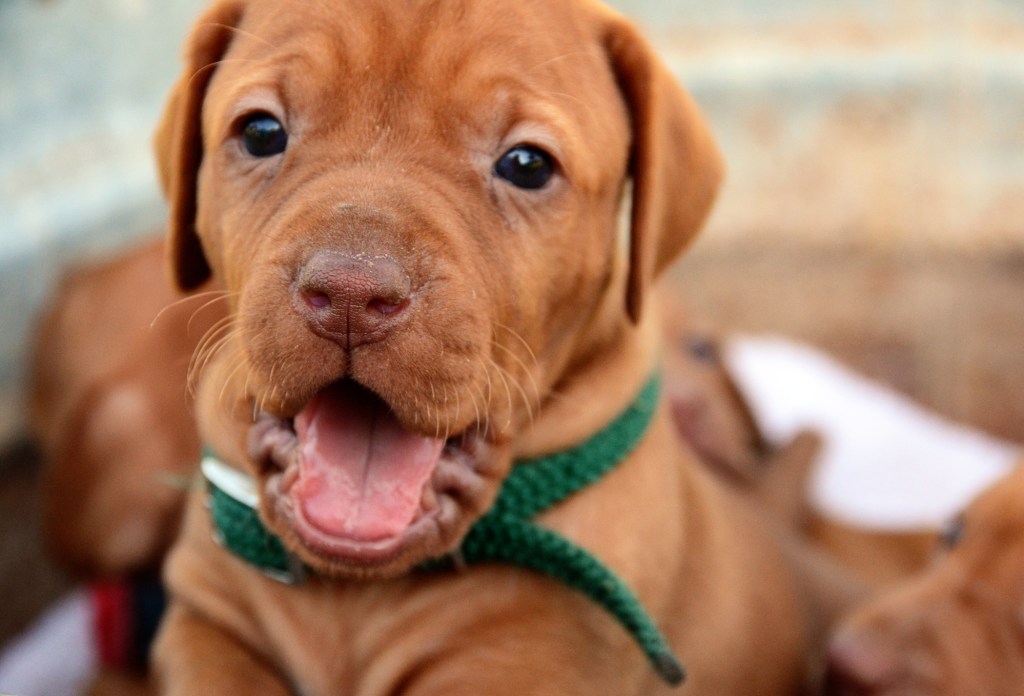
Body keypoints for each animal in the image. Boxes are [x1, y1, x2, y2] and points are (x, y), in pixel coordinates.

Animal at [149, 2, 823, 691]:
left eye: (527, 165)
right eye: (261, 132)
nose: (349, 295)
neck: (354, 587)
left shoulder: (518, 666)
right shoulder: (204, 624)